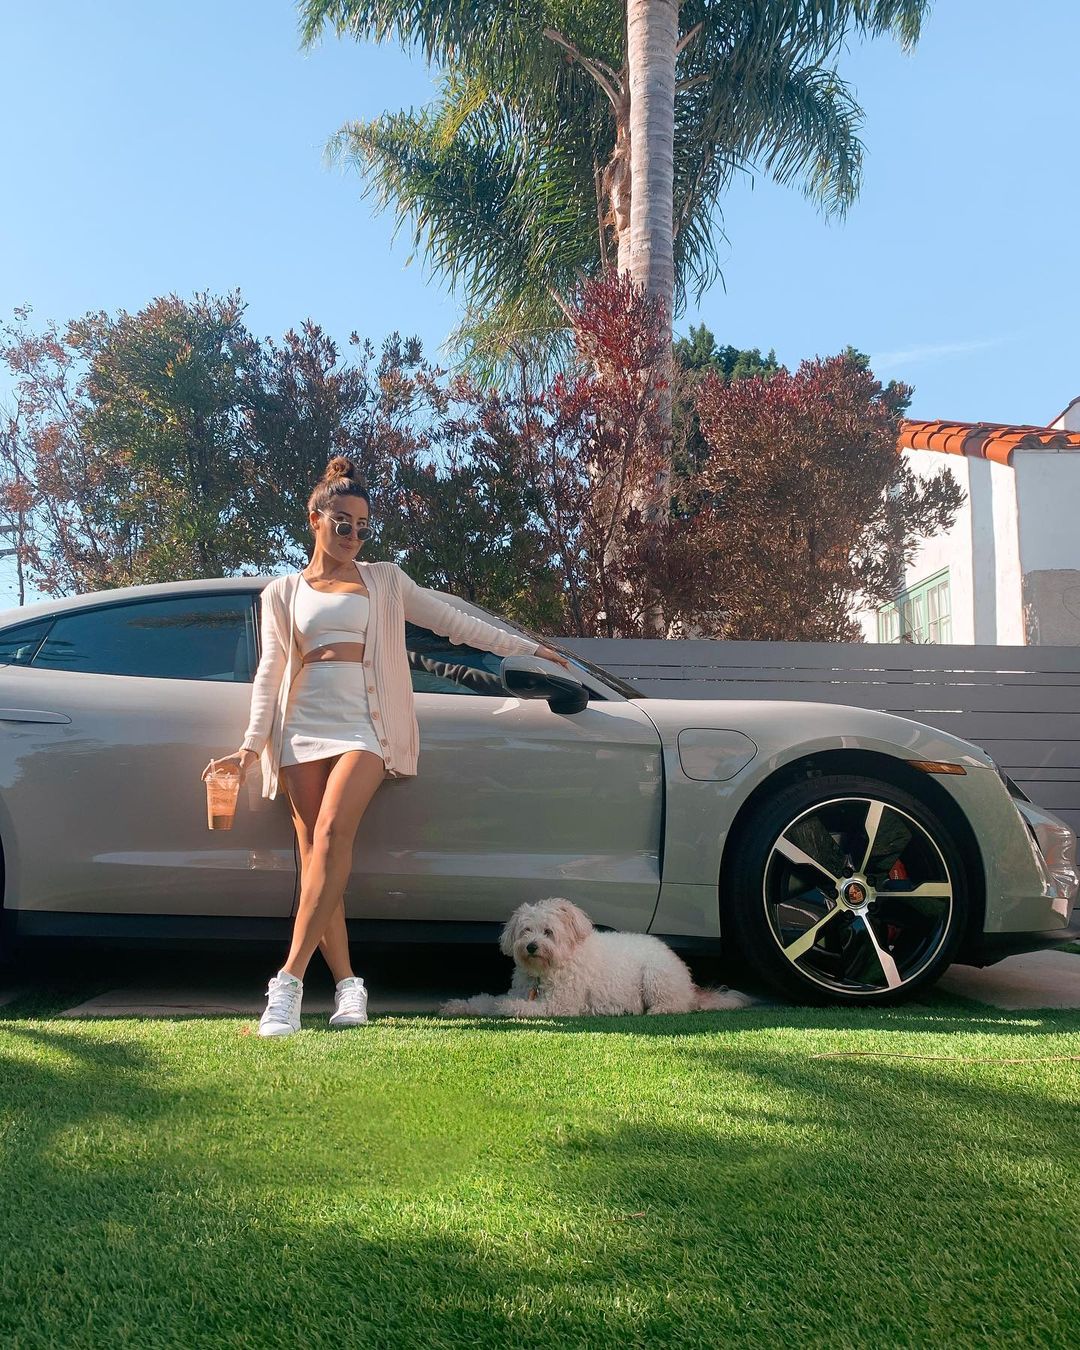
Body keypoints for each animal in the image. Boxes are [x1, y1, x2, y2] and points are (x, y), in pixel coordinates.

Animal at [439, 897, 754, 1018]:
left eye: (548, 931)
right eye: (525, 930)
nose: (531, 946)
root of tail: (689, 984)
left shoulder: (560, 1004)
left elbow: (512, 1005)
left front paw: (504, 1007)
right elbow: (485, 1000)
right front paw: (458, 1006)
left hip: (655, 978)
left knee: (676, 1006)